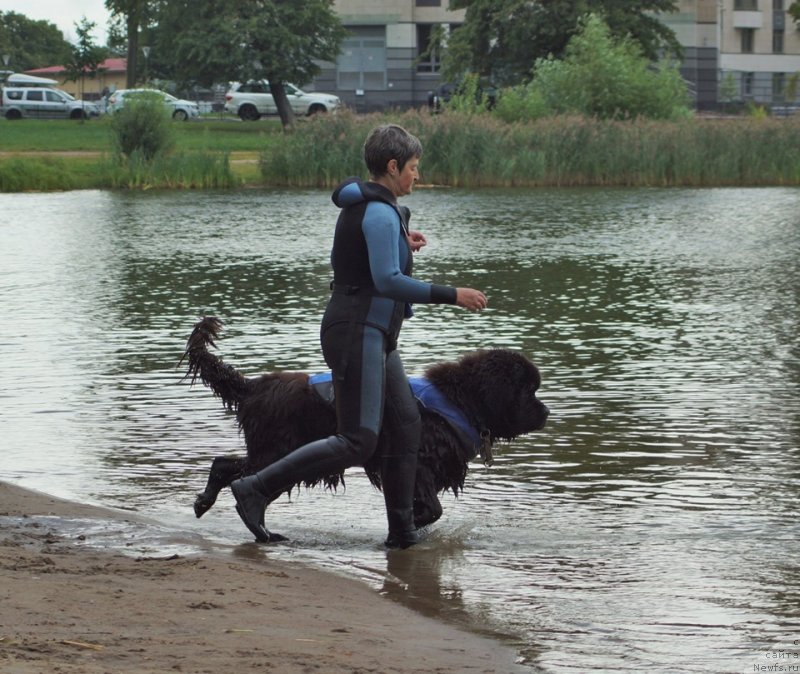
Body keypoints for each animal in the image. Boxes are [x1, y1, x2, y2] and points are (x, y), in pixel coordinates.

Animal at [182, 316, 548, 532]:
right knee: (246, 476)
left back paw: (205, 503)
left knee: (227, 464)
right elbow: (432, 508)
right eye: (528, 389)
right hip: (277, 449)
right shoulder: (419, 464)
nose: (546, 413)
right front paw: (411, 524)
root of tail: (254, 386)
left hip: (271, 448)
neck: (460, 400)